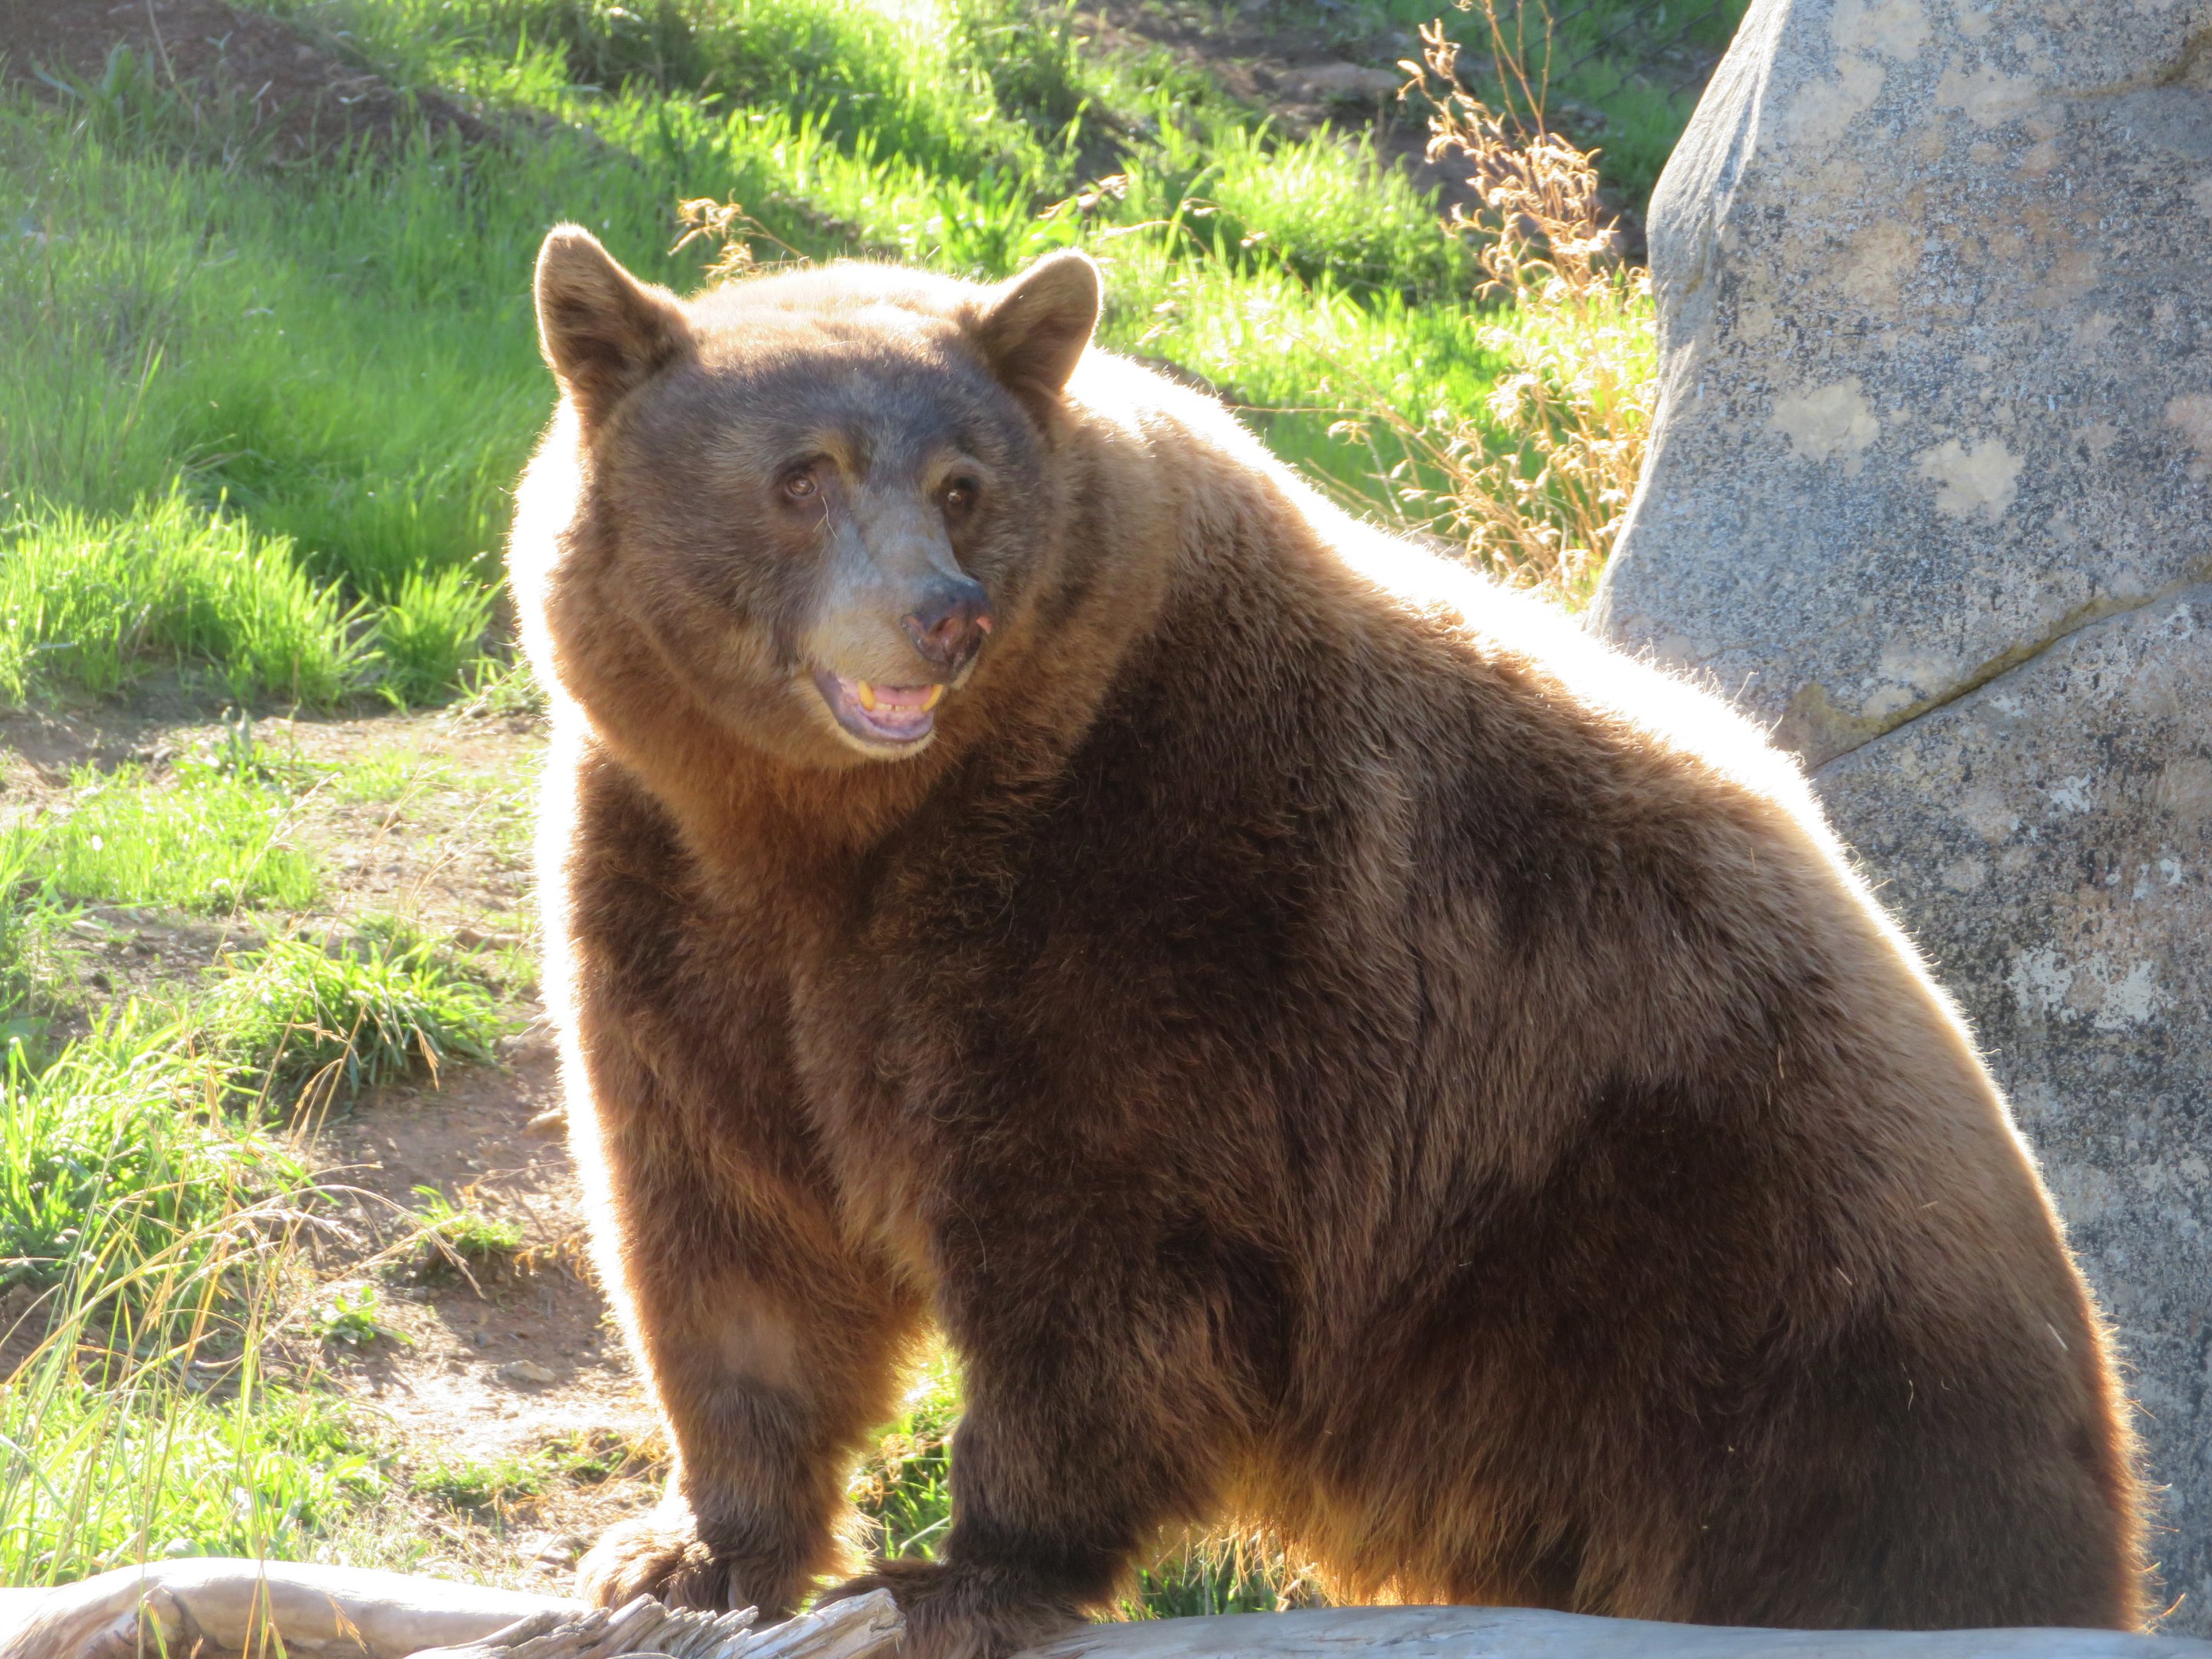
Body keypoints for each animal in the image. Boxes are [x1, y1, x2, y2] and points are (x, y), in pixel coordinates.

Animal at [509, 225, 2148, 1659]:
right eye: (803, 475)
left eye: (963, 485)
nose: (941, 617)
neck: (846, 829)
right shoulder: (686, 898)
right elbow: (730, 1232)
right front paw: (687, 1552)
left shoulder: (1160, 906)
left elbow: (1101, 1267)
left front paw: (959, 1576)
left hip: (1760, 1305)